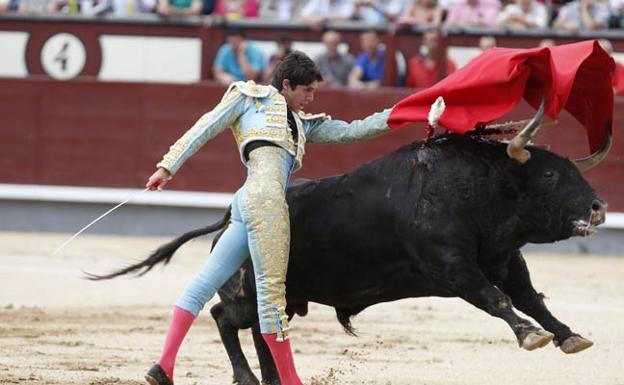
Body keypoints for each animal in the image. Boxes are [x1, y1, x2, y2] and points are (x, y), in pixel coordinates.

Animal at [90, 103, 612, 384]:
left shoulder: (506, 261)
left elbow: (534, 300)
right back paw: (245, 376)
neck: (483, 192)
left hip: (281, 292)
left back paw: (272, 378)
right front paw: (531, 336)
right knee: (225, 317)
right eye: (549, 175)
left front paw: (567, 335)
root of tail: (228, 217)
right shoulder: (454, 267)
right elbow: (497, 299)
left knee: (260, 328)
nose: (597, 208)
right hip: (251, 286)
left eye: (571, 170)